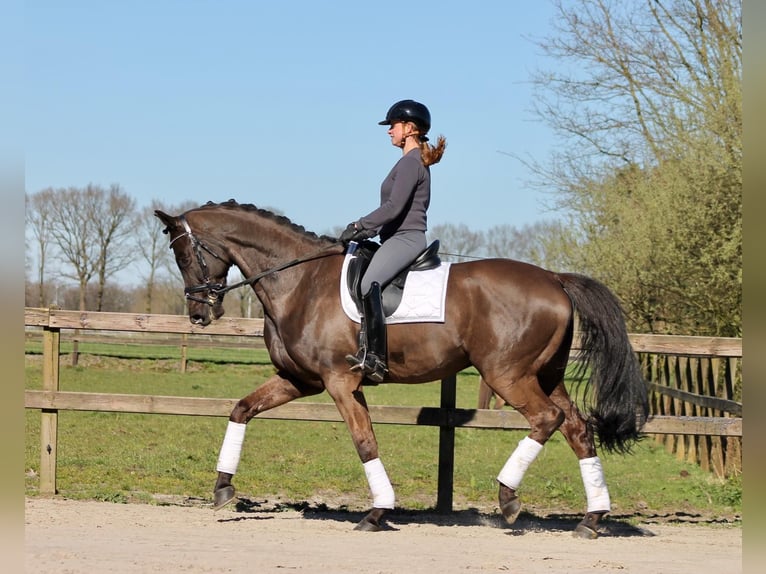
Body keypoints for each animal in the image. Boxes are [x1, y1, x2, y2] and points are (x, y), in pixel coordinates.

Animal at [155, 199, 649, 538]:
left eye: (184, 256)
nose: (199, 314)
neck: (299, 282)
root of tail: (554, 279)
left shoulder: (339, 382)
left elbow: (364, 441)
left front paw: (377, 512)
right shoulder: (300, 381)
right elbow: (241, 409)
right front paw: (223, 489)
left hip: (508, 375)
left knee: (548, 419)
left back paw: (508, 498)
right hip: (545, 375)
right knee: (577, 428)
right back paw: (592, 519)